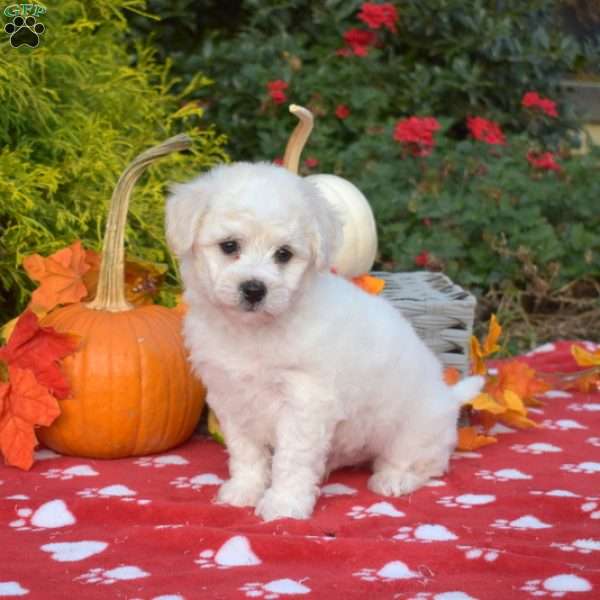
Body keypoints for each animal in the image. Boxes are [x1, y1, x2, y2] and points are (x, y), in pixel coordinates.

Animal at [166, 163, 486, 520]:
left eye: (284, 254)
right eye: (229, 246)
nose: (253, 289)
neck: (252, 331)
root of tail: (449, 396)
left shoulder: (305, 401)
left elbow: (291, 459)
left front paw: (284, 504)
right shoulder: (230, 397)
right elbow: (245, 451)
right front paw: (244, 490)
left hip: (415, 429)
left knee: (424, 462)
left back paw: (393, 479)